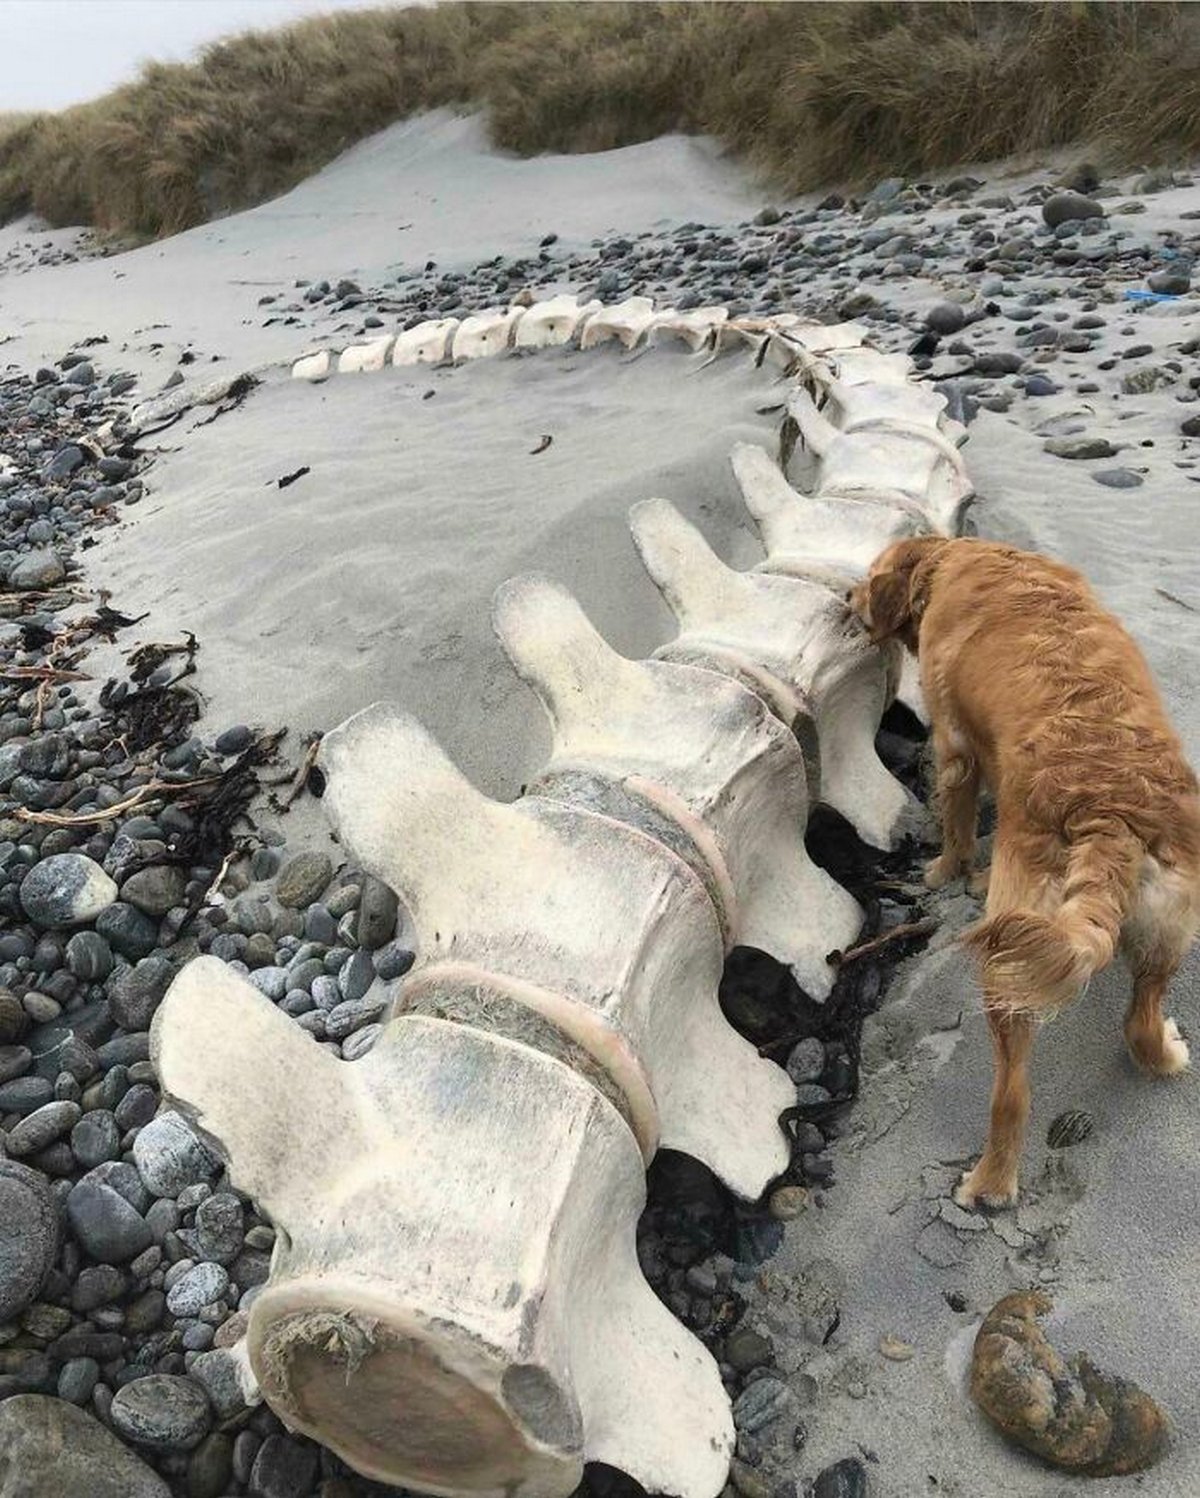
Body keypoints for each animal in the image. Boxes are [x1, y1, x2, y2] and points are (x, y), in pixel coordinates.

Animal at [844, 539, 1192, 1204]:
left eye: (869, 578)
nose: (846, 598)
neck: (953, 561)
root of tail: (1108, 814)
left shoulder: (954, 747)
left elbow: (956, 827)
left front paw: (944, 871)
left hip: (1009, 962)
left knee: (1012, 1094)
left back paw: (988, 1181)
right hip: (1169, 926)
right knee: (1139, 1020)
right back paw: (1166, 1053)